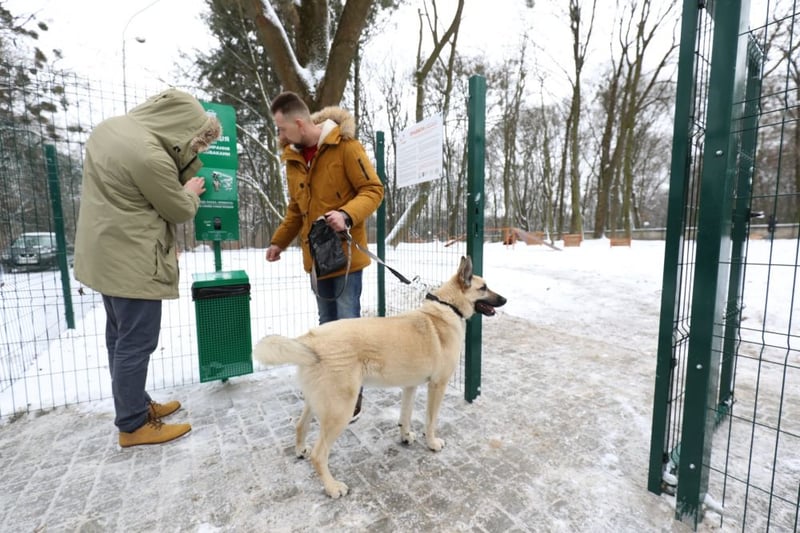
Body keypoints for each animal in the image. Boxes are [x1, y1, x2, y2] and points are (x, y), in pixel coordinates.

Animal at [252, 255, 507, 498]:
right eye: (484, 288)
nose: (504, 300)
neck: (448, 308)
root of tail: (310, 338)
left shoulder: (410, 386)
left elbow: (406, 415)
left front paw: (405, 436)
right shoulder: (438, 385)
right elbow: (430, 421)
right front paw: (432, 443)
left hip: (318, 403)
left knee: (300, 425)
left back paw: (300, 450)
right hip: (340, 410)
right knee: (319, 454)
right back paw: (333, 488)